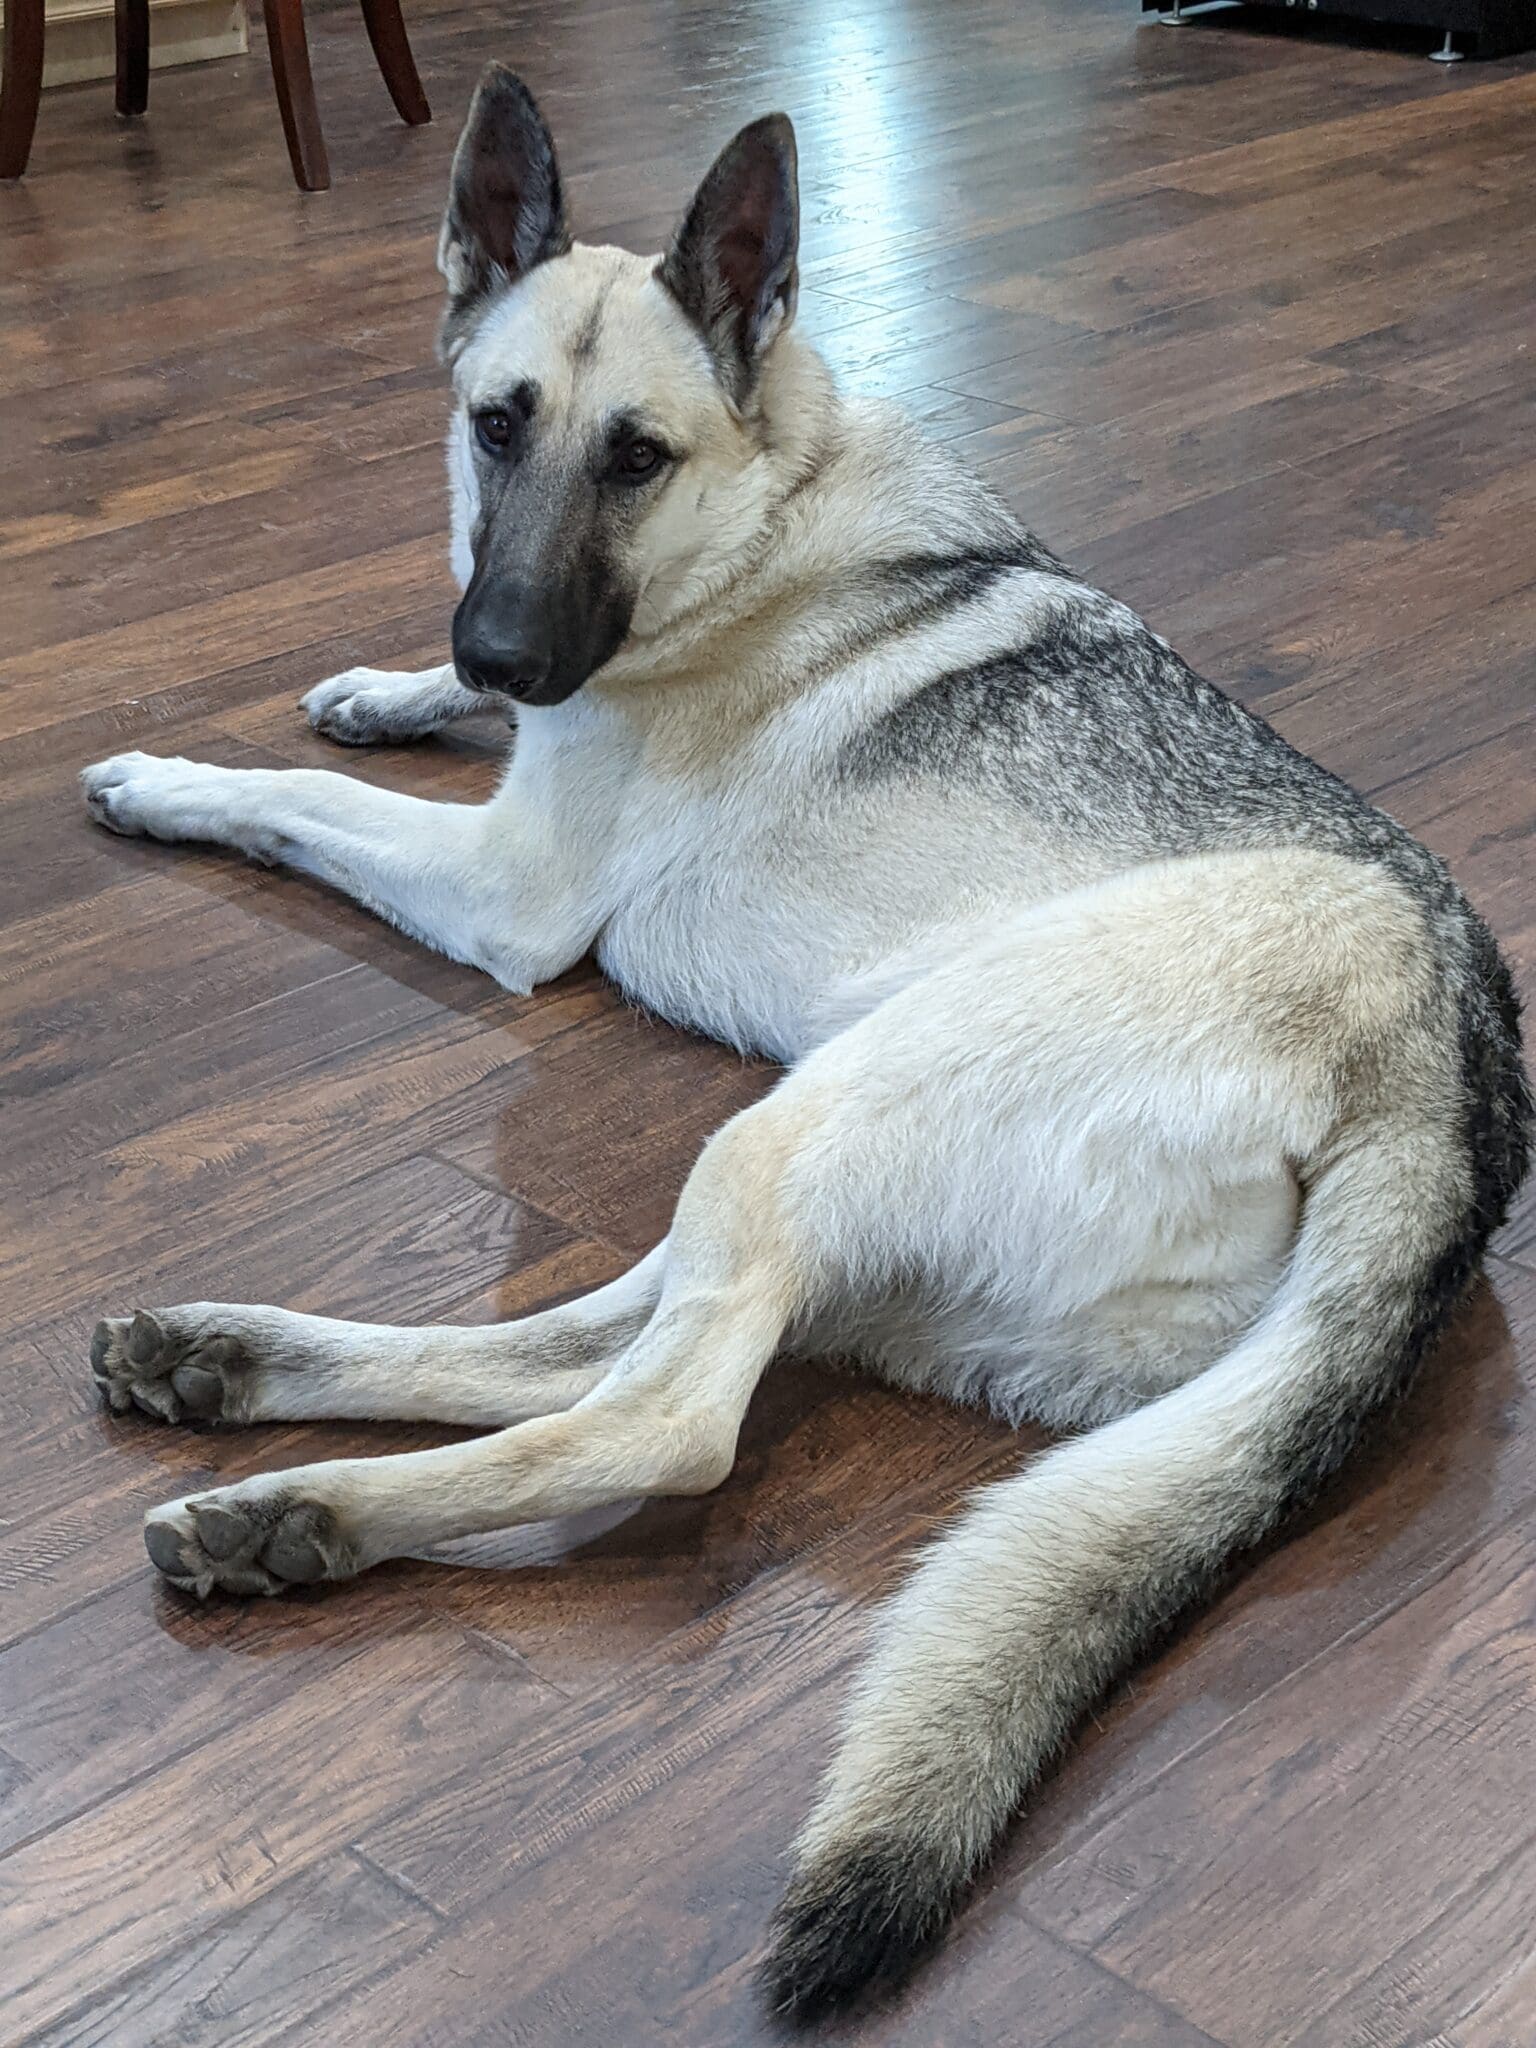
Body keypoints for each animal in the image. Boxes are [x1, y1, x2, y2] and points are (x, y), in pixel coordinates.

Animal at [78, 59, 1531, 2015]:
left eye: (636, 458)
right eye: (492, 427)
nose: (505, 643)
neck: (774, 496)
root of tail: (1456, 1101)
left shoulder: (509, 889)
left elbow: (291, 797)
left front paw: (174, 777)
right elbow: (393, 726)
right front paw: (394, 681)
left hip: (817, 1116)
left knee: (659, 1417)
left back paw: (307, 1509)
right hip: (820, 1149)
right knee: (589, 1344)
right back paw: (226, 1370)